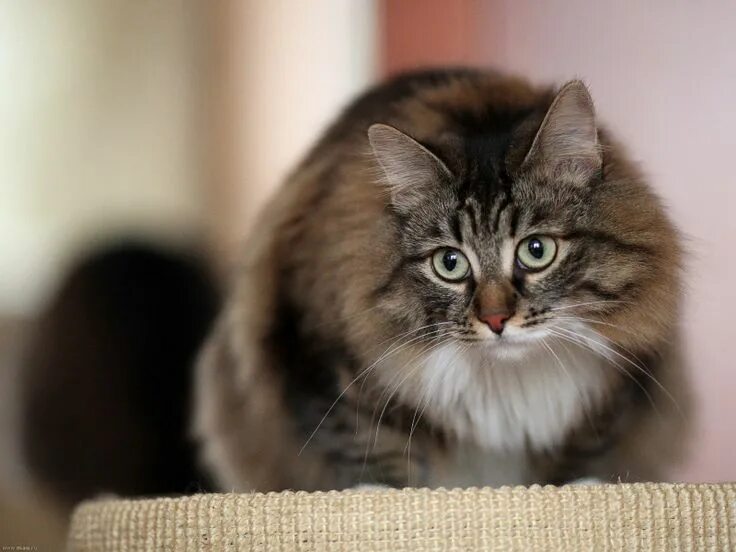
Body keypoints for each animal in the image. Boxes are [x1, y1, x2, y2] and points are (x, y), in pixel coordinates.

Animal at [193, 69, 688, 492]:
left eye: (537, 250)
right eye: (450, 263)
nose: (495, 320)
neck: (504, 382)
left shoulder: (618, 386)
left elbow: (582, 450)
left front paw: (579, 487)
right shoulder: (320, 357)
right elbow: (366, 444)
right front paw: (378, 494)